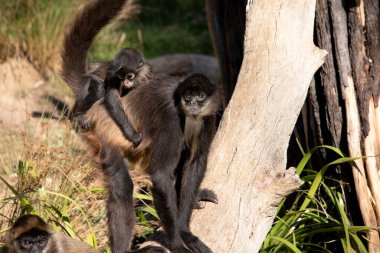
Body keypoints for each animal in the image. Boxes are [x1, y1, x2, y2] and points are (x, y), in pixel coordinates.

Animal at [59, 0, 220, 253]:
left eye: (200, 96)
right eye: (188, 97)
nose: (193, 104)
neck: (188, 115)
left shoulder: (209, 116)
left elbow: (195, 162)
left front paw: (186, 230)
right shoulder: (171, 117)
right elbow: (161, 175)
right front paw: (178, 242)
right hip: (103, 135)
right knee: (123, 188)